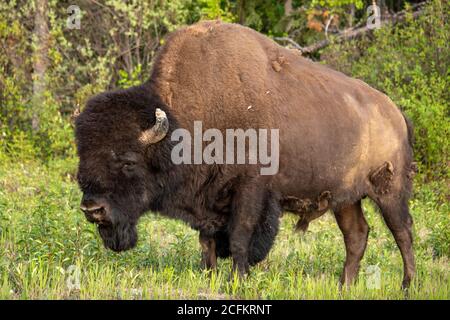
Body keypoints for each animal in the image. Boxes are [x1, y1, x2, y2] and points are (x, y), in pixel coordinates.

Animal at [75, 21, 416, 288]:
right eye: (83, 158)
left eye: (128, 161)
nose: (93, 209)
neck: (184, 123)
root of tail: (396, 114)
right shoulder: (207, 199)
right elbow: (207, 241)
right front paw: (209, 276)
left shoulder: (251, 191)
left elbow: (240, 237)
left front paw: (237, 280)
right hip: (346, 199)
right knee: (356, 235)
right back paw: (345, 285)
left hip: (389, 191)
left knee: (402, 232)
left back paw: (407, 285)